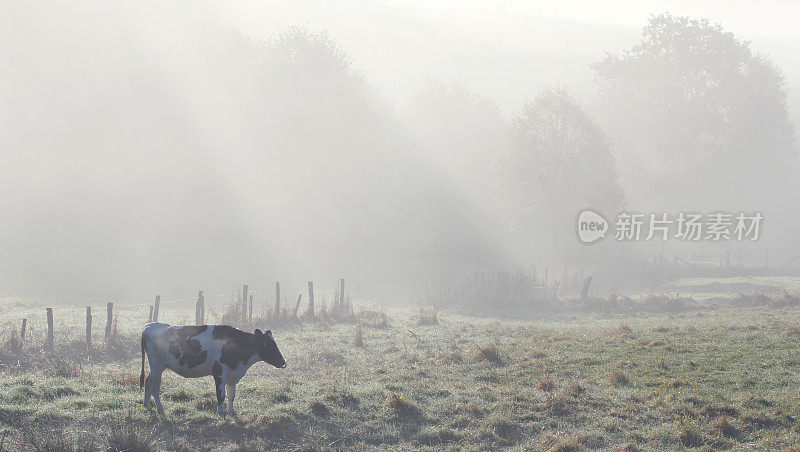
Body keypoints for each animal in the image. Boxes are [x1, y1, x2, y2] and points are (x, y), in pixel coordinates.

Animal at [141, 322, 288, 416]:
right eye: (267, 344)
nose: (283, 362)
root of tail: (149, 326)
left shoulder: (233, 376)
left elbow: (231, 396)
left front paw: (231, 412)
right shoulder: (219, 373)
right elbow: (220, 396)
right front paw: (220, 413)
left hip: (156, 368)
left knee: (148, 382)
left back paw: (146, 404)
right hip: (157, 366)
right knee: (155, 388)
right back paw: (159, 408)